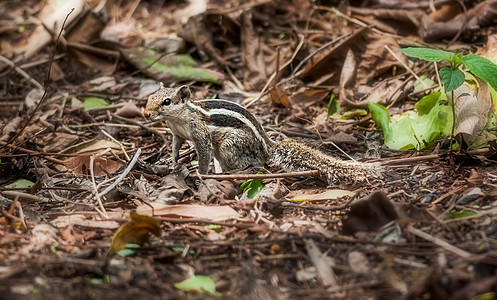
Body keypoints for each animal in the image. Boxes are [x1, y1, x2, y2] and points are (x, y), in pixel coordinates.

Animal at [143, 84, 380, 183]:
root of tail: (267, 147)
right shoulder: (177, 134)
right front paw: (173, 161)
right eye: (149, 97)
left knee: (253, 164)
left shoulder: (200, 135)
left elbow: (203, 153)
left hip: (229, 146)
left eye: (166, 101)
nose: (145, 114)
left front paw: (200, 173)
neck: (178, 118)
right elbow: (175, 146)